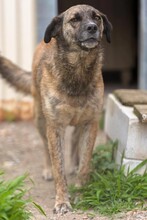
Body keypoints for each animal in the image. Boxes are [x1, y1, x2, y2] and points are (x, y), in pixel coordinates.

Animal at [0, 4, 111, 214]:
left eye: (97, 18)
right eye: (74, 19)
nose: (92, 28)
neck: (77, 69)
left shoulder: (90, 123)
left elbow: (85, 163)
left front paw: (82, 192)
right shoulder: (55, 127)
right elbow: (59, 167)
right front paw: (62, 201)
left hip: (78, 123)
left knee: (74, 141)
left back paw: (73, 165)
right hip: (40, 120)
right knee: (46, 147)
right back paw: (47, 169)